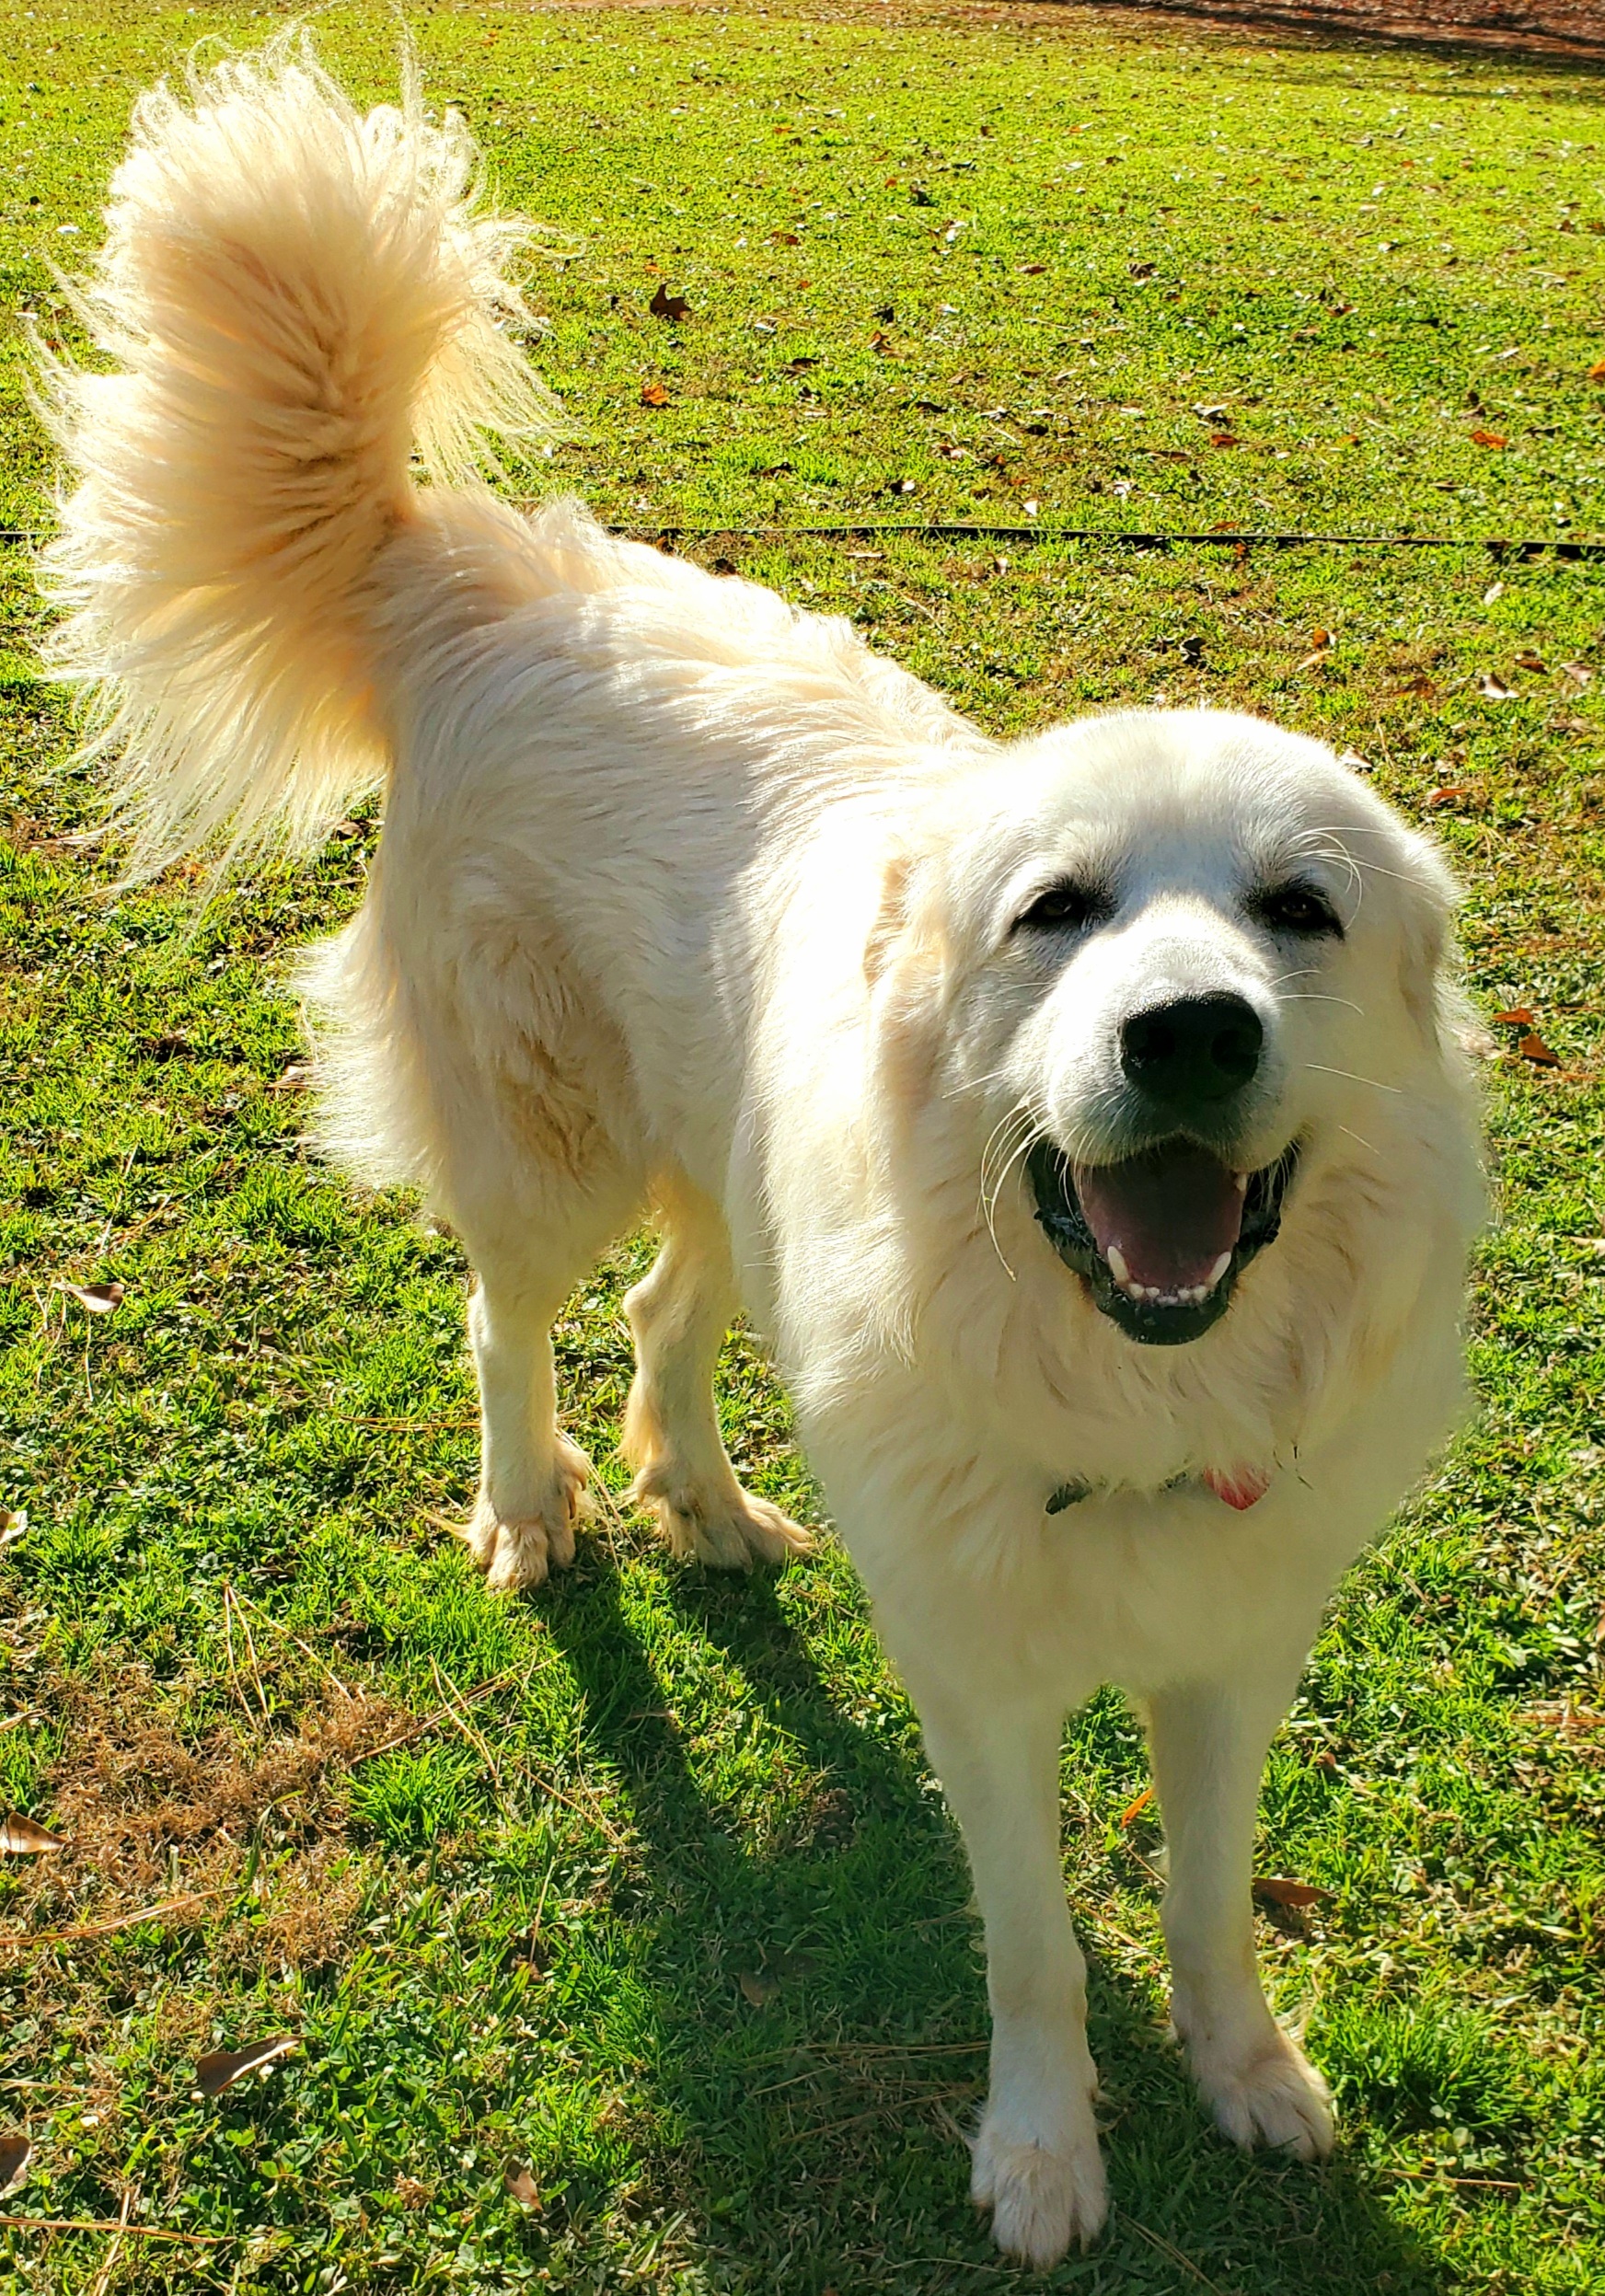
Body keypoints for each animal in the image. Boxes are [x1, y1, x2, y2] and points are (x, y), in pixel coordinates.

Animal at [43, 44, 1478, 2268]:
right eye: (1054, 909)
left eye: (1295, 912)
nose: (1185, 1030)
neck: (1126, 1389)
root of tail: (461, 571)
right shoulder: (980, 1683)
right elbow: (1035, 1949)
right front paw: (1041, 2153)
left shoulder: (1232, 1649)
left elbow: (1207, 1898)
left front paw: (1244, 2074)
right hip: (544, 1146)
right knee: (508, 1325)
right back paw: (534, 1510)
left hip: (719, 1172)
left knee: (661, 1316)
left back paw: (703, 1505)